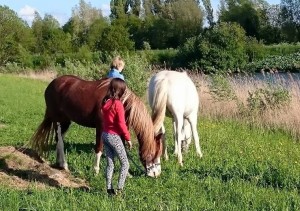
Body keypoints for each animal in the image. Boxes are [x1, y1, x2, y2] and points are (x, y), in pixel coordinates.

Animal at [29, 75, 164, 177]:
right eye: (153, 154)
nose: (156, 174)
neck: (120, 101)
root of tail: (51, 84)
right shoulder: (101, 128)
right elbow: (99, 149)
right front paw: (96, 171)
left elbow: (121, 149)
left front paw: (128, 173)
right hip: (58, 120)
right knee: (60, 141)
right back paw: (65, 165)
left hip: (66, 121)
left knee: (58, 139)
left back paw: (59, 162)